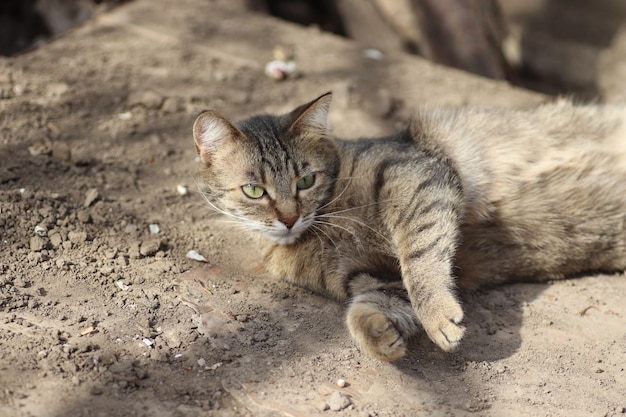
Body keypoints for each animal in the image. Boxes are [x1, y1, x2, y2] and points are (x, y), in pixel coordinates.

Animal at [190, 92, 624, 360]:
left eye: (306, 181)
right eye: (253, 190)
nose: (289, 218)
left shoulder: (416, 175)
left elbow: (420, 257)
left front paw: (437, 315)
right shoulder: (371, 278)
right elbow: (373, 304)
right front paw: (376, 333)